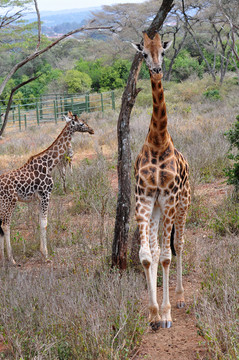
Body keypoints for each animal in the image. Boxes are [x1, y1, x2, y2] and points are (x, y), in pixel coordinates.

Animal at [0, 112, 94, 264]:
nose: (92, 130)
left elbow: (40, 222)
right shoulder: (46, 195)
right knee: (5, 225)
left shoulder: (40, 198)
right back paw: (11, 259)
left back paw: (2, 258)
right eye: (81, 123)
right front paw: (46, 255)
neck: (49, 165)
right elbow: (44, 223)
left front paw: (42, 252)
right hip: (10, 201)